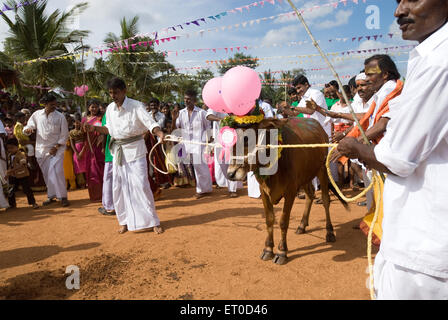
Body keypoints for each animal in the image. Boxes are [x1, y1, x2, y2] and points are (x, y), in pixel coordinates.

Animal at [226, 117, 348, 264]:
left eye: (246, 139)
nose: (231, 174)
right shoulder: (264, 192)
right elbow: (269, 220)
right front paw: (268, 249)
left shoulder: (290, 191)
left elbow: (283, 222)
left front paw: (282, 252)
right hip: (305, 175)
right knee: (310, 194)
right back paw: (302, 225)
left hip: (322, 169)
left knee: (325, 200)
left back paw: (329, 232)